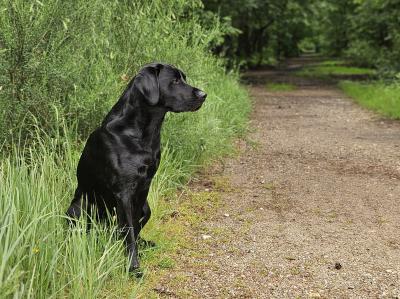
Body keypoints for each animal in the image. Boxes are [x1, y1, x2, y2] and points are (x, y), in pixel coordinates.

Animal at [65, 63, 206, 274]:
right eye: (174, 81)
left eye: (183, 78)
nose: (204, 94)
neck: (140, 134)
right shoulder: (123, 191)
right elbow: (128, 231)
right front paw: (132, 267)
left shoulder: (143, 188)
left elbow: (134, 229)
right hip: (81, 206)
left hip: (147, 208)